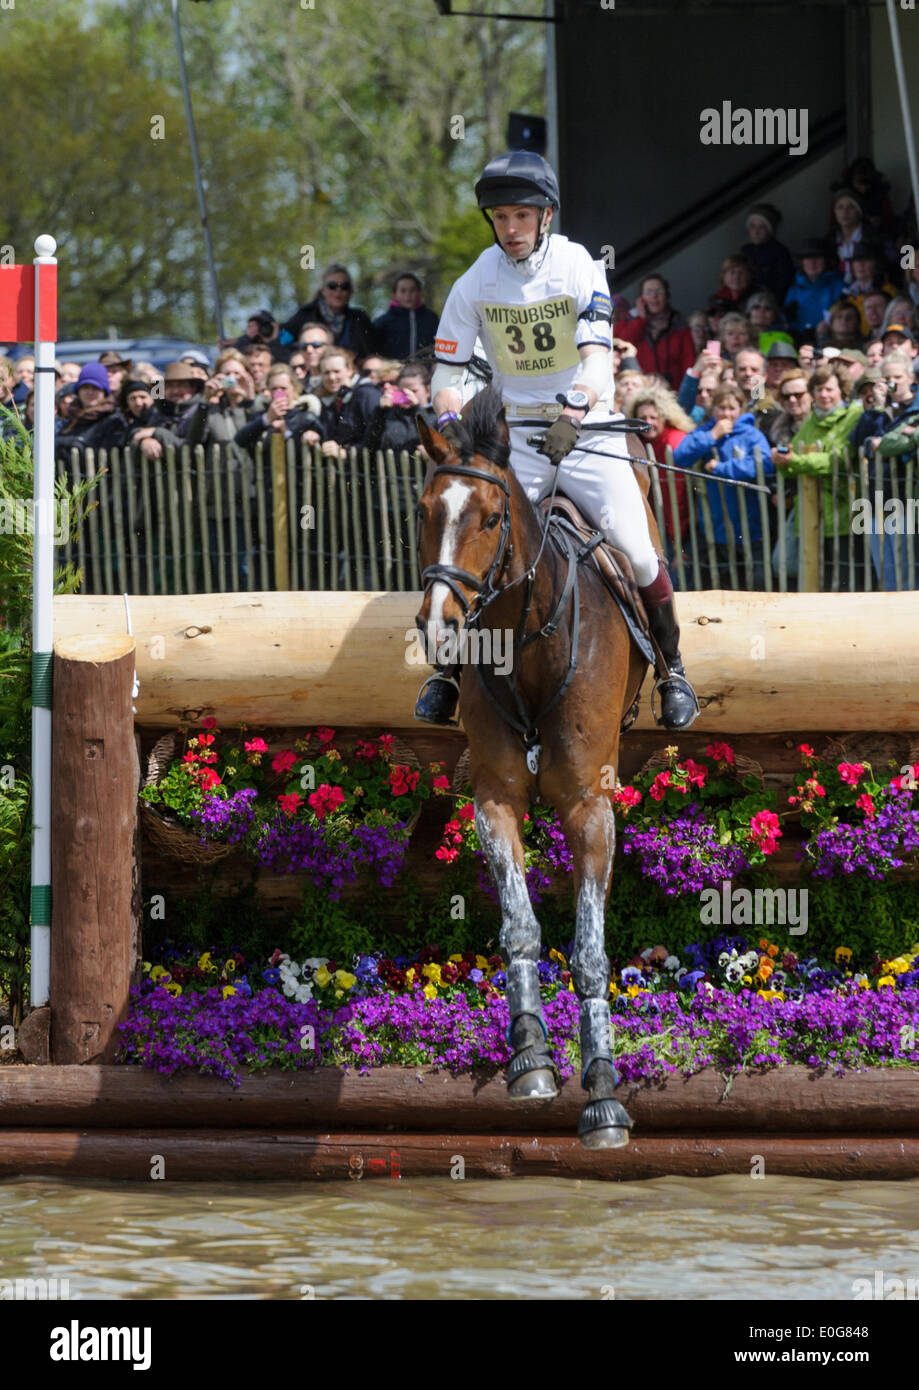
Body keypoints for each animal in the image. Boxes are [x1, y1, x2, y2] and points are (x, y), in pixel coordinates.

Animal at [417, 386, 659, 1145]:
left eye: (492, 518)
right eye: (424, 513)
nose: (438, 627)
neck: (527, 644)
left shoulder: (589, 807)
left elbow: (589, 951)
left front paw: (603, 1093)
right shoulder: (494, 797)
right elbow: (520, 925)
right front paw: (530, 1058)